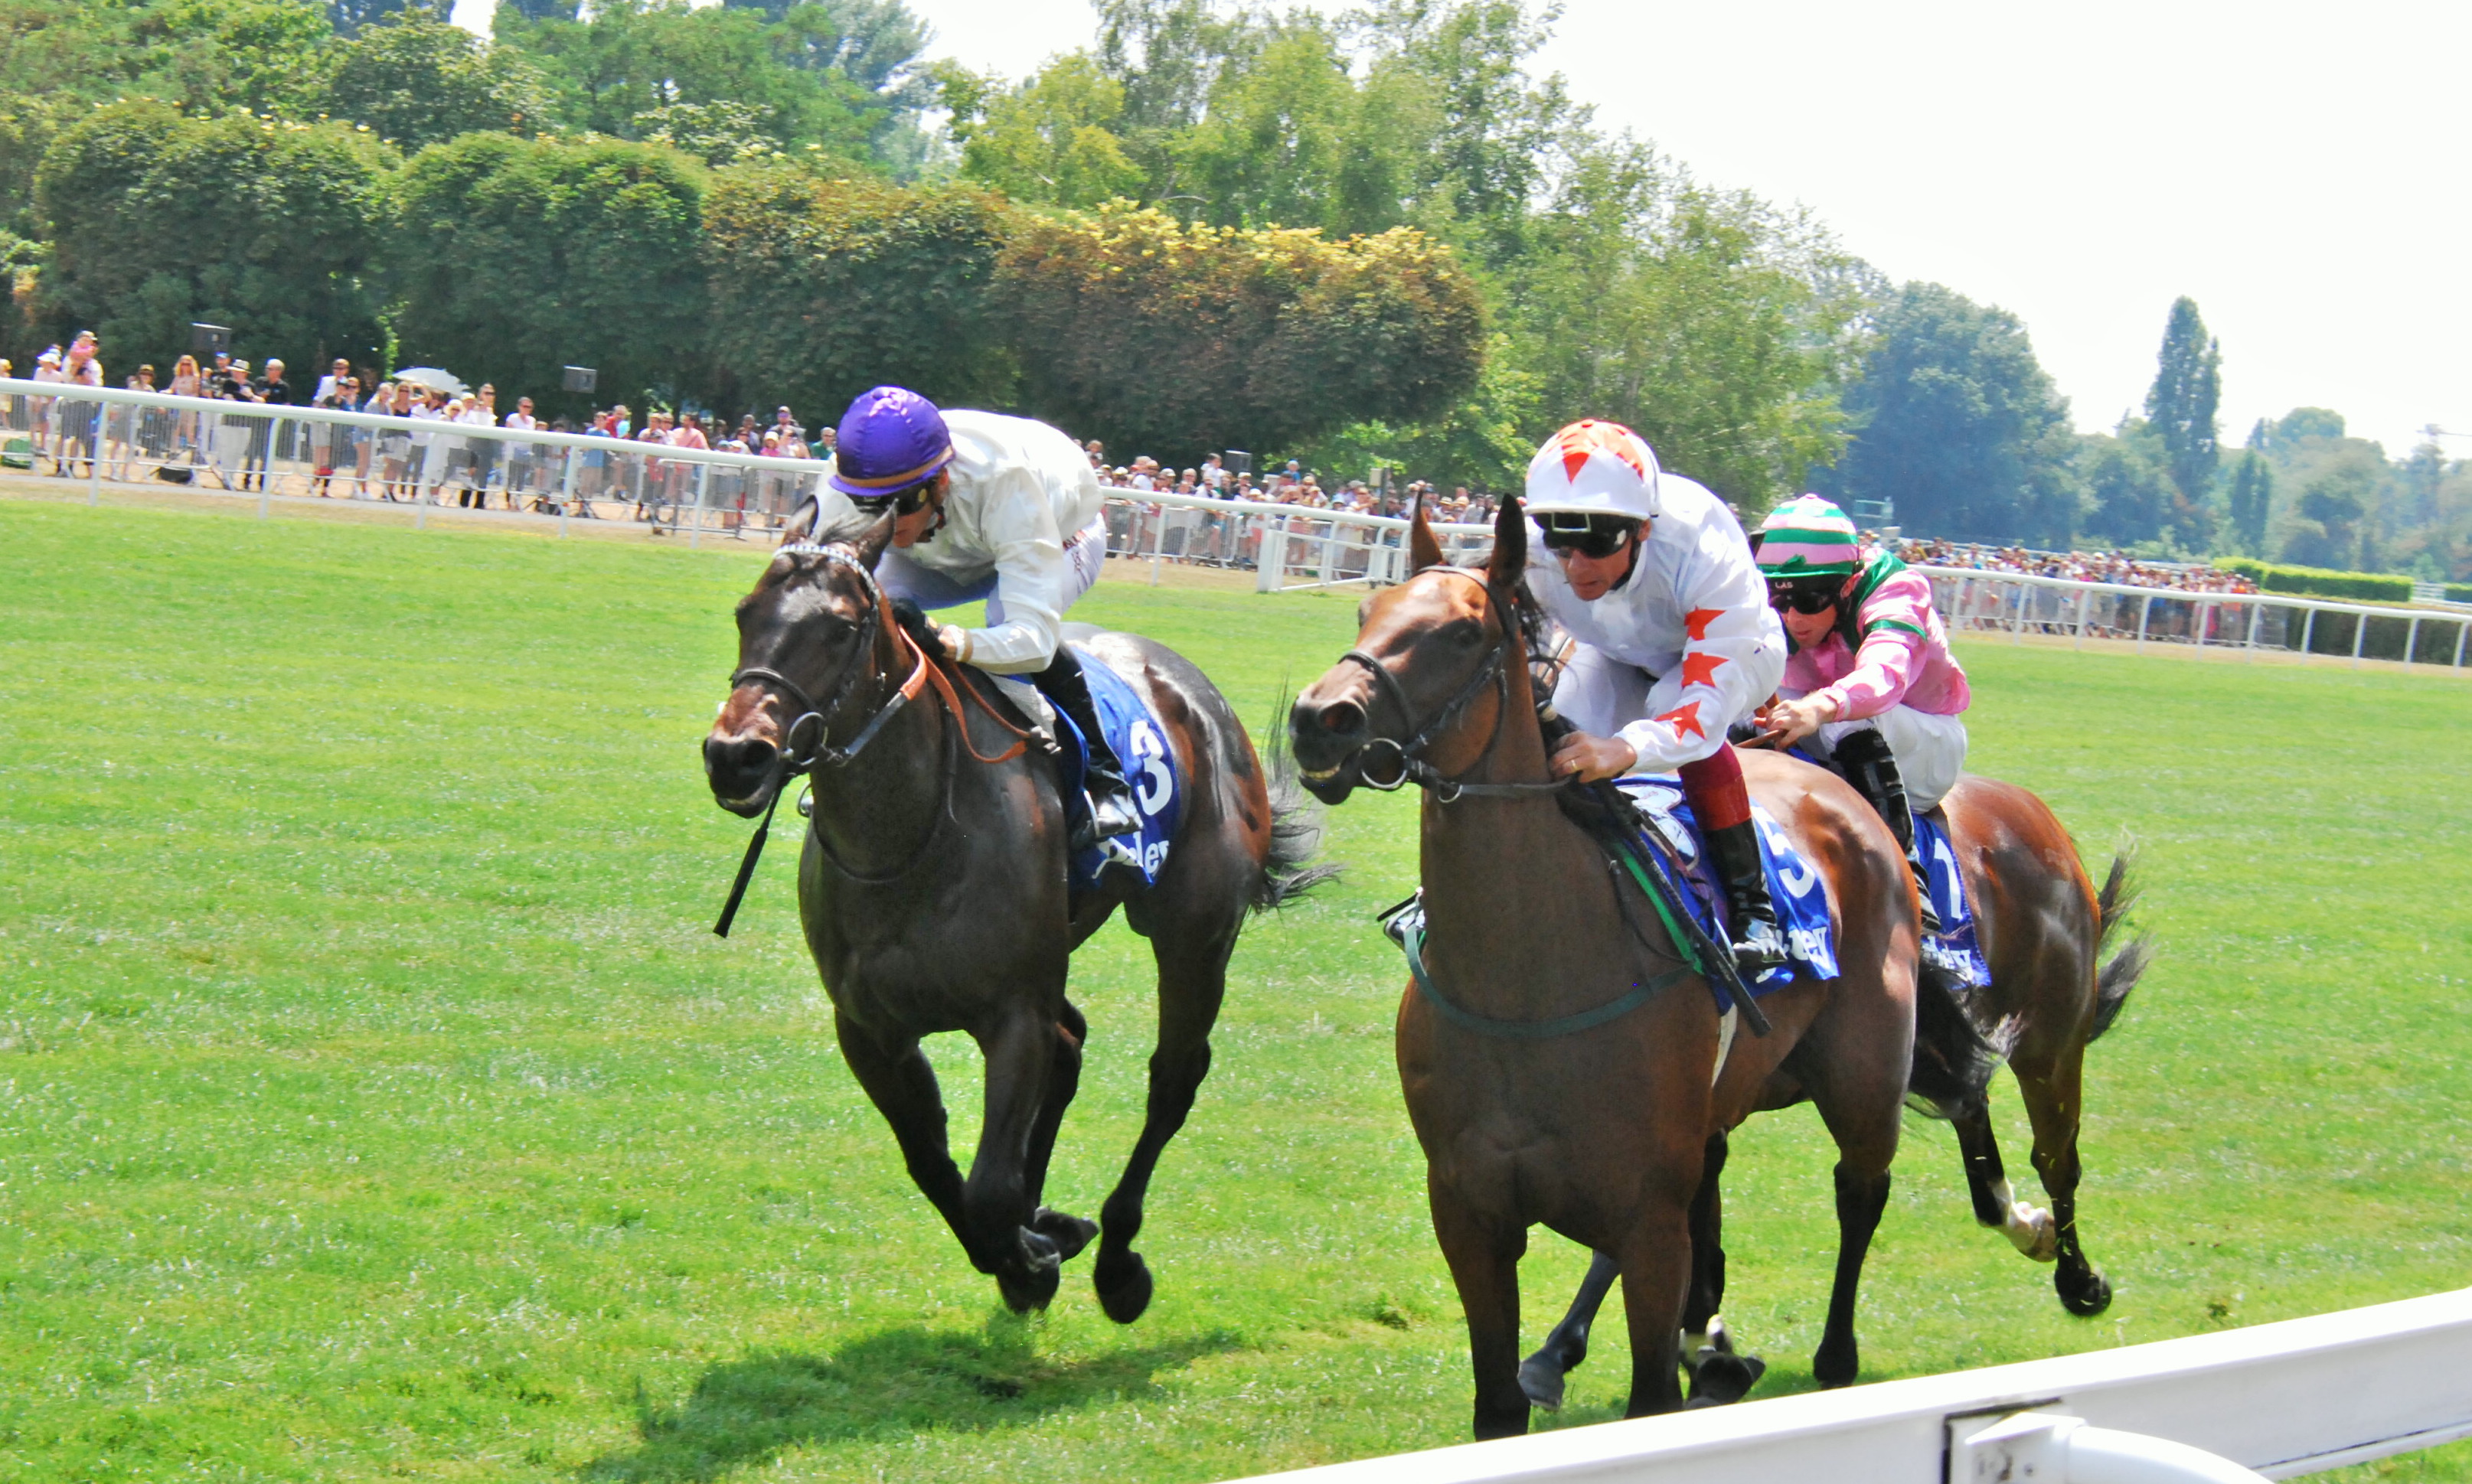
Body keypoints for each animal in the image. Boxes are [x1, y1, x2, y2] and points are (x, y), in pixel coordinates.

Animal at [707, 504, 1334, 1316]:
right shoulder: (871, 1030)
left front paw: (1035, 1255)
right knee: (1072, 1046)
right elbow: (936, 1168)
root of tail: (1199, 694)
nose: (735, 755)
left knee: (1172, 1076)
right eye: (745, 613)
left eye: (841, 628)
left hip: (1192, 934)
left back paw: (1119, 1259)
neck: (911, 836)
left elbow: (990, 1190)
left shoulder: (1012, 1014)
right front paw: (1036, 1246)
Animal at [1285, 502, 1918, 1434]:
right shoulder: (1469, 1213)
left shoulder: (1647, 1218)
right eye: (1368, 612)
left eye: (1463, 633)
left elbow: (1650, 1390)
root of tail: (1837, 791)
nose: (1318, 718)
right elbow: (1497, 1406)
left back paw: (1833, 1355)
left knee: (1860, 1191)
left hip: (1865, 1081)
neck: (1524, 984)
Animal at [1503, 781, 2145, 1404]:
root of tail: (2032, 813)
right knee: (1971, 1110)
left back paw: (2076, 1279)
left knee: (2051, 1157)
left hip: (2044, 1035)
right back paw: (2018, 1221)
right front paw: (1619, 1345)